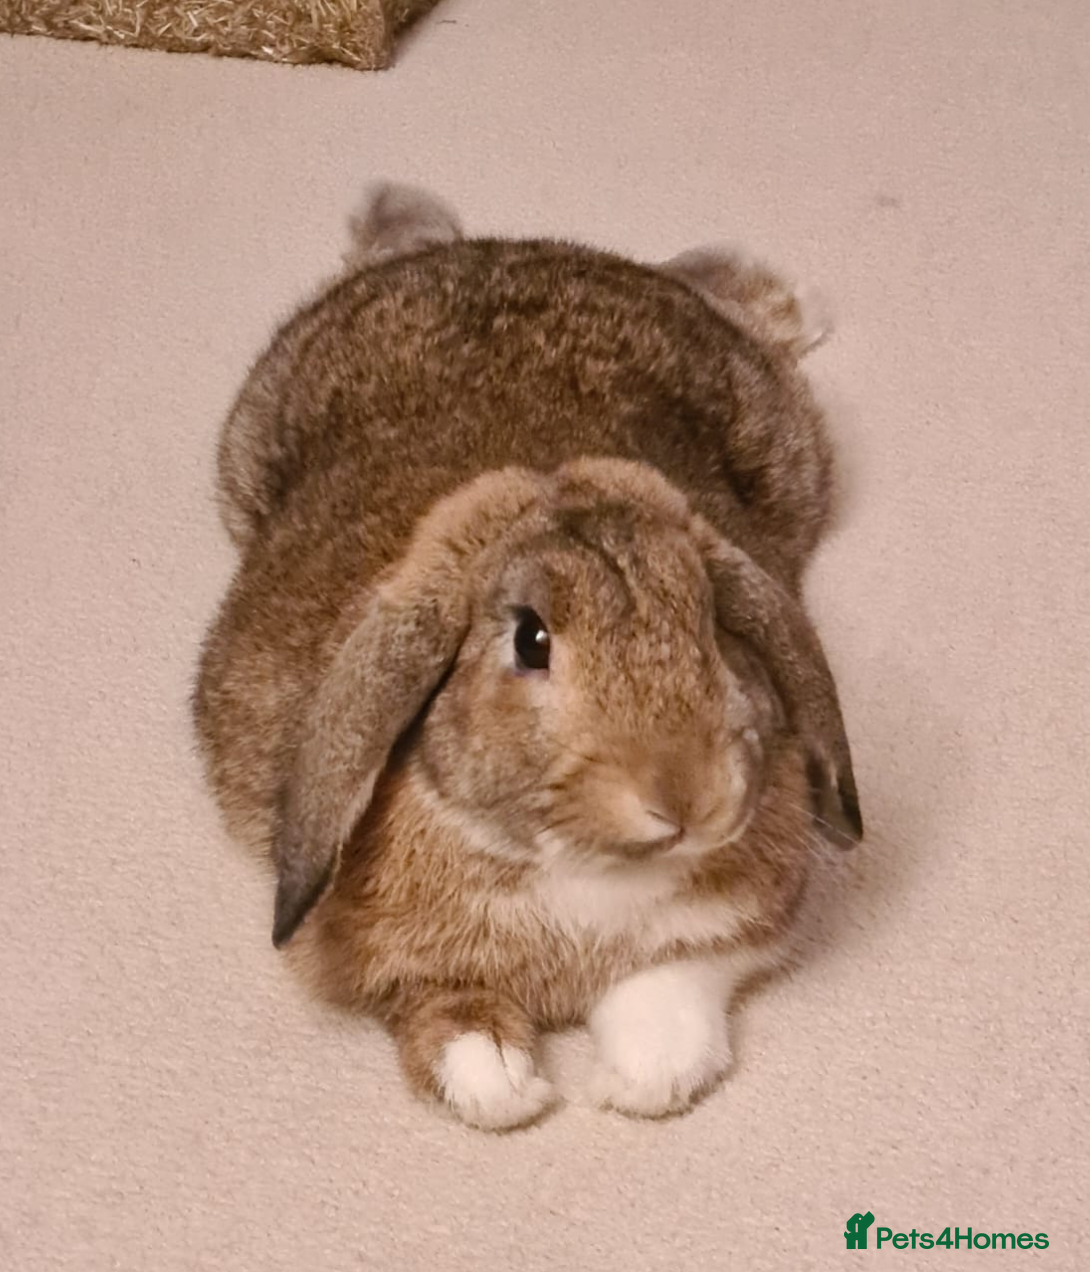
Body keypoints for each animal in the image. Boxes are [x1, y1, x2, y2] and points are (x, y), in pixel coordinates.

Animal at [192, 182, 862, 1130]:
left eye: (711, 622)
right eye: (529, 641)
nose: (686, 797)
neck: (579, 868)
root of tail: (495, 249)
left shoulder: (724, 930)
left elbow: (669, 989)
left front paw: (639, 1082)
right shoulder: (396, 969)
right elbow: (442, 1011)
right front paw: (503, 1082)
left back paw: (792, 300)